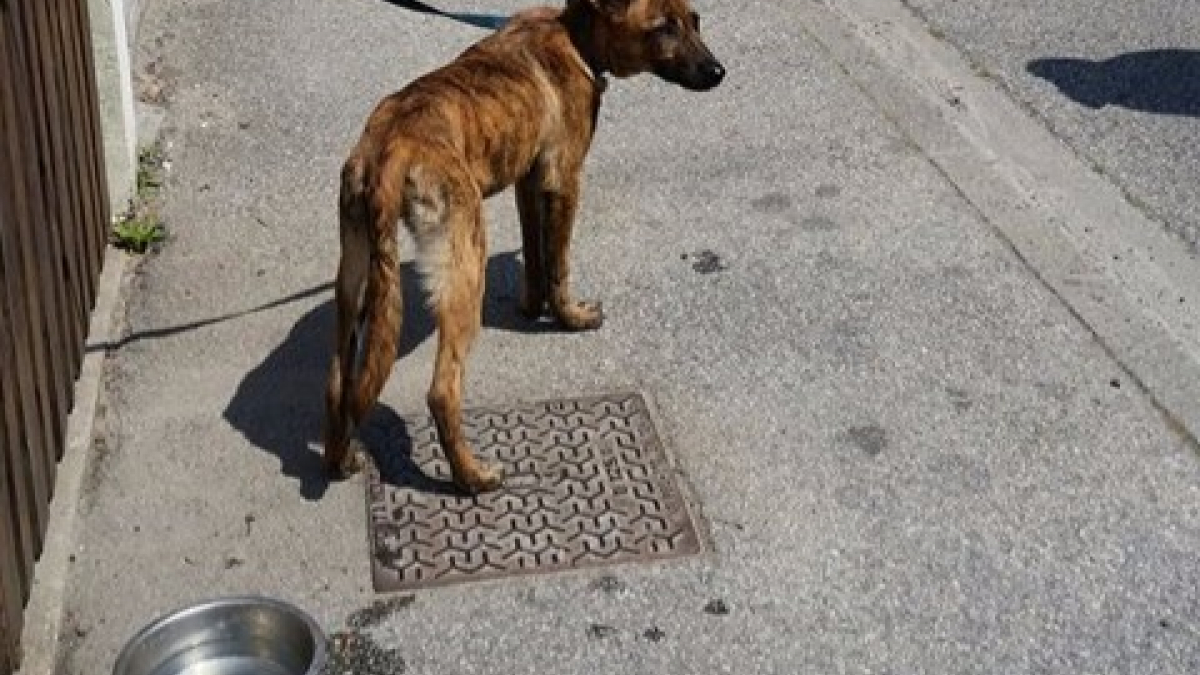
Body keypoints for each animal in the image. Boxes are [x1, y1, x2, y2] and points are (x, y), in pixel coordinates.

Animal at [324, 0, 720, 492]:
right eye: (664, 27)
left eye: (696, 21)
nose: (718, 72)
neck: (574, 33)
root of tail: (389, 151)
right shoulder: (564, 181)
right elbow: (559, 265)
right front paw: (571, 318)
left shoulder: (528, 184)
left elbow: (535, 257)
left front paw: (532, 308)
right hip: (465, 267)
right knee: (442, 392)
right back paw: (472, 477)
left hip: (354, 279)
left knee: (338, 385)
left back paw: (340, 459)